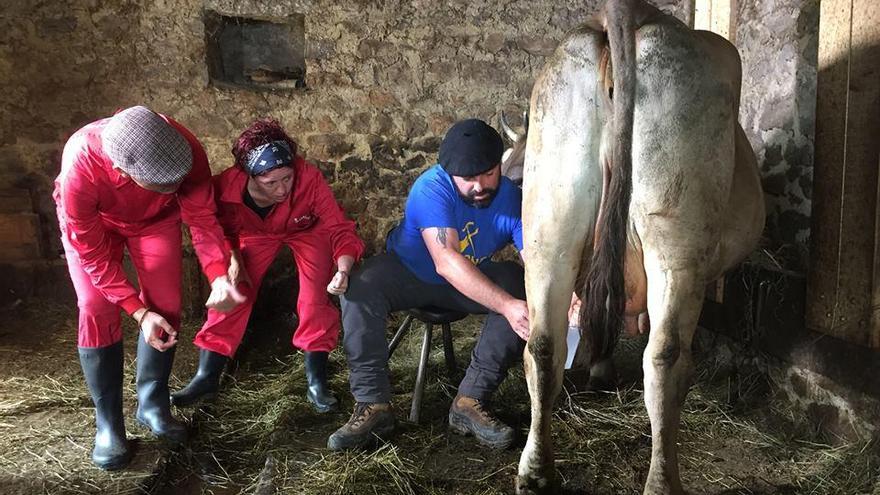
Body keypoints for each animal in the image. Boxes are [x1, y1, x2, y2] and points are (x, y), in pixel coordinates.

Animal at [516, 0, 764, 495]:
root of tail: (627, 14)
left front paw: (600, 371)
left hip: (549, 223)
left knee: (544, 346)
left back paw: (535, 473)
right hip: (676, 239)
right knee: (665, 358)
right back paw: (663, 481)